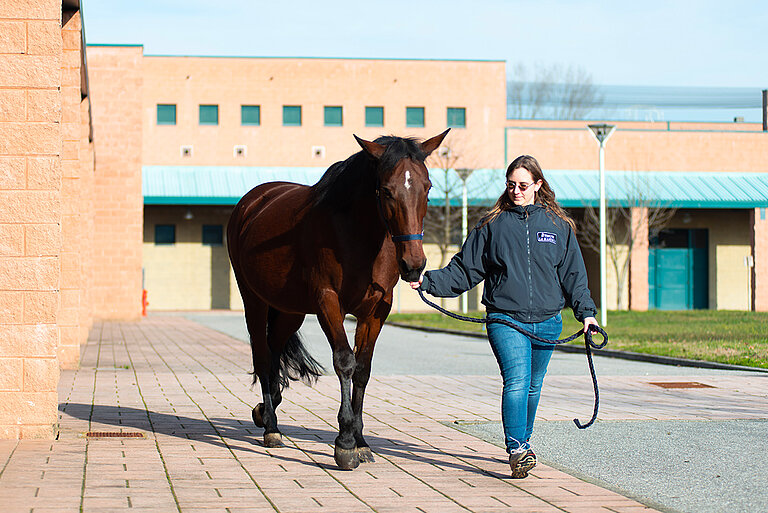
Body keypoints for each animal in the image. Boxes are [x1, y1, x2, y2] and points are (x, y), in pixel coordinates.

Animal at [226, 131, 450, 468]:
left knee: (275, 348)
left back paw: (267, 409)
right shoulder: (327, 302)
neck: (357, 235)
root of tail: (252, 201)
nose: (413, 265)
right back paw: (271, 428)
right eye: (386, 190)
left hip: (290, 309)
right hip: (254, 300)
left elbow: (363, 369)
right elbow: (345, 361)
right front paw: (344, 443)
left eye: (428, 187)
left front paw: (360, 441)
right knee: (263, 355)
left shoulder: (376, 310)